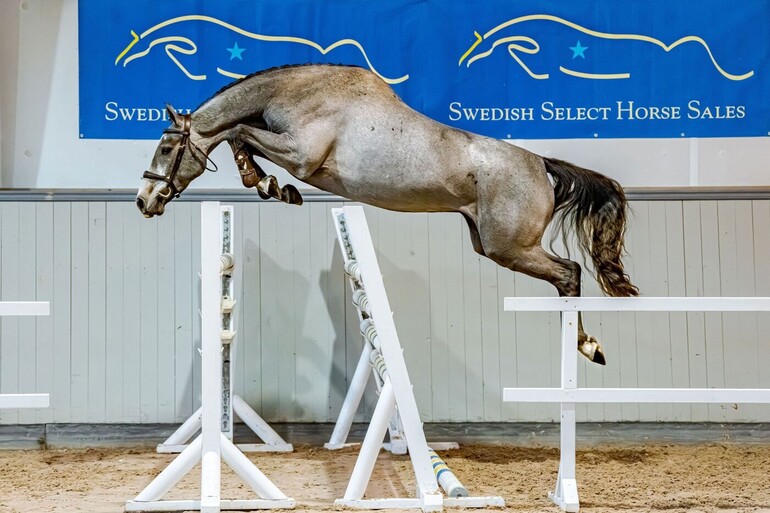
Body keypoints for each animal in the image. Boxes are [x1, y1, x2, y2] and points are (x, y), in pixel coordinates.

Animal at [135, 63, 638, 364]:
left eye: (167, 149)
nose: (144, 199)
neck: (298, 92)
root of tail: (541, 164)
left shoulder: (300, 154)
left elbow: (239, 130)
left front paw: (268, 185)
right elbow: (240, 135)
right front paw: (269, 185)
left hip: (510, 247)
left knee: (569, 272)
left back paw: (586, 345)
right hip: (491, 244)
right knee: (567, 275)